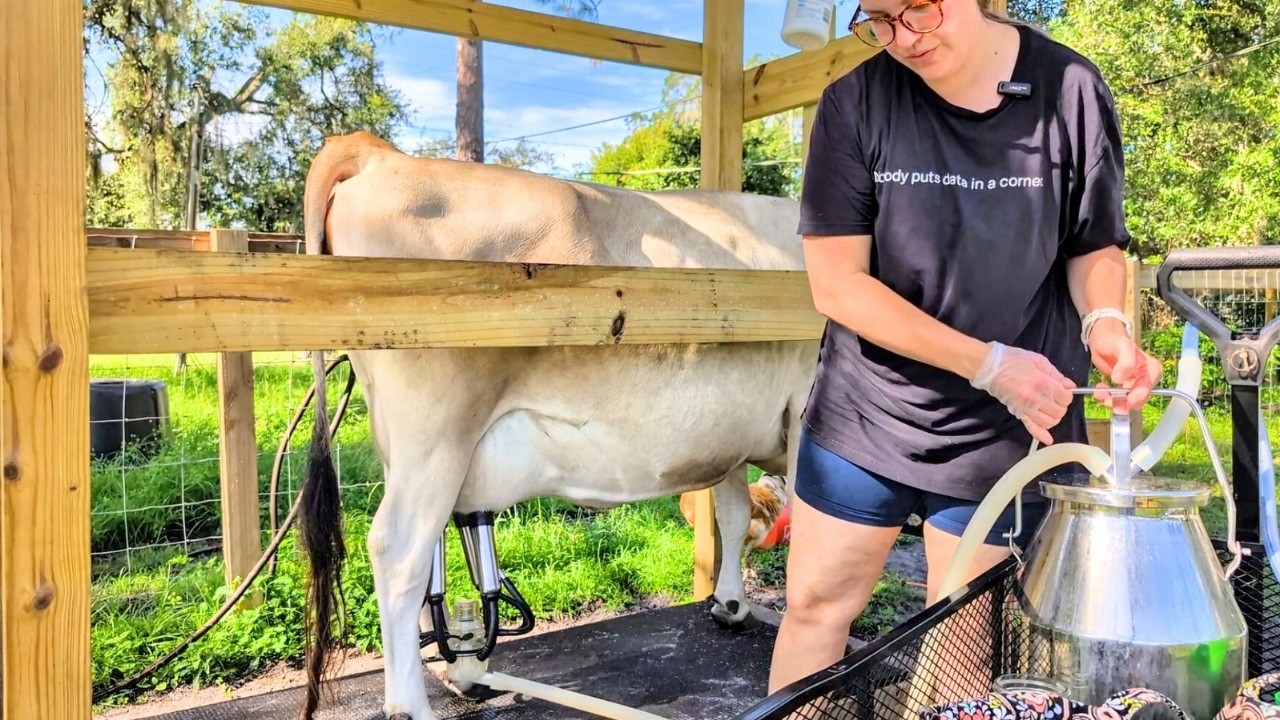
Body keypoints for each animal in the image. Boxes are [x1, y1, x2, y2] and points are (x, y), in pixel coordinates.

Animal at [297, 131, 818, 720]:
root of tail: (378, 152)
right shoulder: (803, 409)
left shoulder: (729, 435)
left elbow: (730, 514)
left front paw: (731, 603)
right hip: (436, 436)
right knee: (398, 552)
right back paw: (409, 704)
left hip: (399, 442)